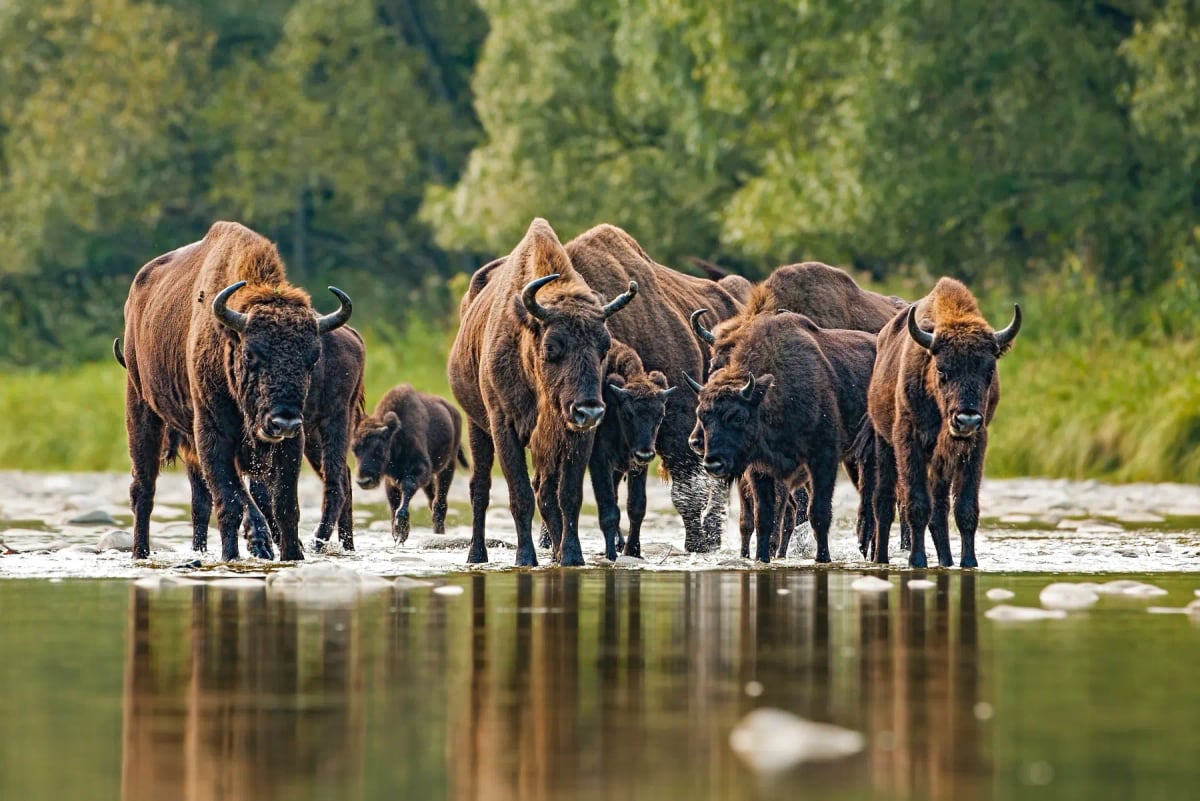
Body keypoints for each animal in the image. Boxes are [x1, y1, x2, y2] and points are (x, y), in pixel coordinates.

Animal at [120, 222, 352, 560]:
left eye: (313, 358)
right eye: (251, 354)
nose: (283, 421)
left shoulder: (291, 443)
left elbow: (284, 506)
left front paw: (292, 554)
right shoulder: (211, 434)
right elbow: (230, 500)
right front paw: (241, 550)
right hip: (141, 406)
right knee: (144, 488)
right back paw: (141, 552)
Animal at [351, 385, 467, 543]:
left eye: (379, 449)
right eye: (353, 449)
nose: (364, 481)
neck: (395, 437)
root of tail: (453, 411)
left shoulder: (420, 469)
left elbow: (408, 487)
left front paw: (401, 530)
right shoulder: (391, 479)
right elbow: (393, 501)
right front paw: (396, 531)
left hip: (449, 465)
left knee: (439, 503)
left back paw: (439, 533)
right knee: (432, 501)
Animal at [448, 219, 637, 566]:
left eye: (604, 347)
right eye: (552, 347)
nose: (589, 410)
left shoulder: (575, 436)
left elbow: (567, 495)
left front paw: (572, 556)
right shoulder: (503, 427)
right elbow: (519, 494)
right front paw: (525, 558)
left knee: (546, 493)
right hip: (476, 426)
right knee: (480, 488)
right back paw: (476, 554)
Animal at [687, 311, 877, 563]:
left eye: (738, 417)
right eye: (702, 414)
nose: (713, 463)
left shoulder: (822, 459)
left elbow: (818, 513)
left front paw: (823, 558)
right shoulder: (760, 469)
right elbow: (764, 518)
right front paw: (761, 558)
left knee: (871, 506)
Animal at [867, 278, 1021, 567]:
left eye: (989, 370)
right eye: (942, 369)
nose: (966, 420)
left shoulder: (974, 445)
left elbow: (965, 508)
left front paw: (969, 562)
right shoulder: (909, 440)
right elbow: (916, 504)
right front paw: (917, 560)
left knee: (939, 511)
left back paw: (946, 560)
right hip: (884, 444)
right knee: (884, 502)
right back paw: (881, 558)